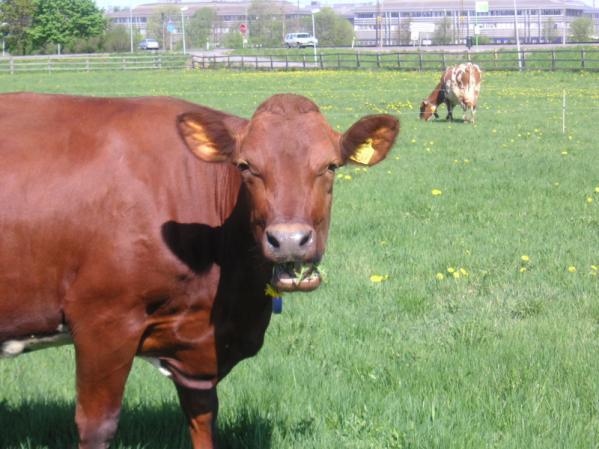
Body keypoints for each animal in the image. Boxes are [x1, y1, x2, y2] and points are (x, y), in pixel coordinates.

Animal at [1, 92, 404, 448]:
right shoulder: (102, 320)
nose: (289, 240)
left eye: (331, 166)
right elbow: (97, 425)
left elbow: (202, 416)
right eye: (246, 166)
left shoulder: (197, 349)